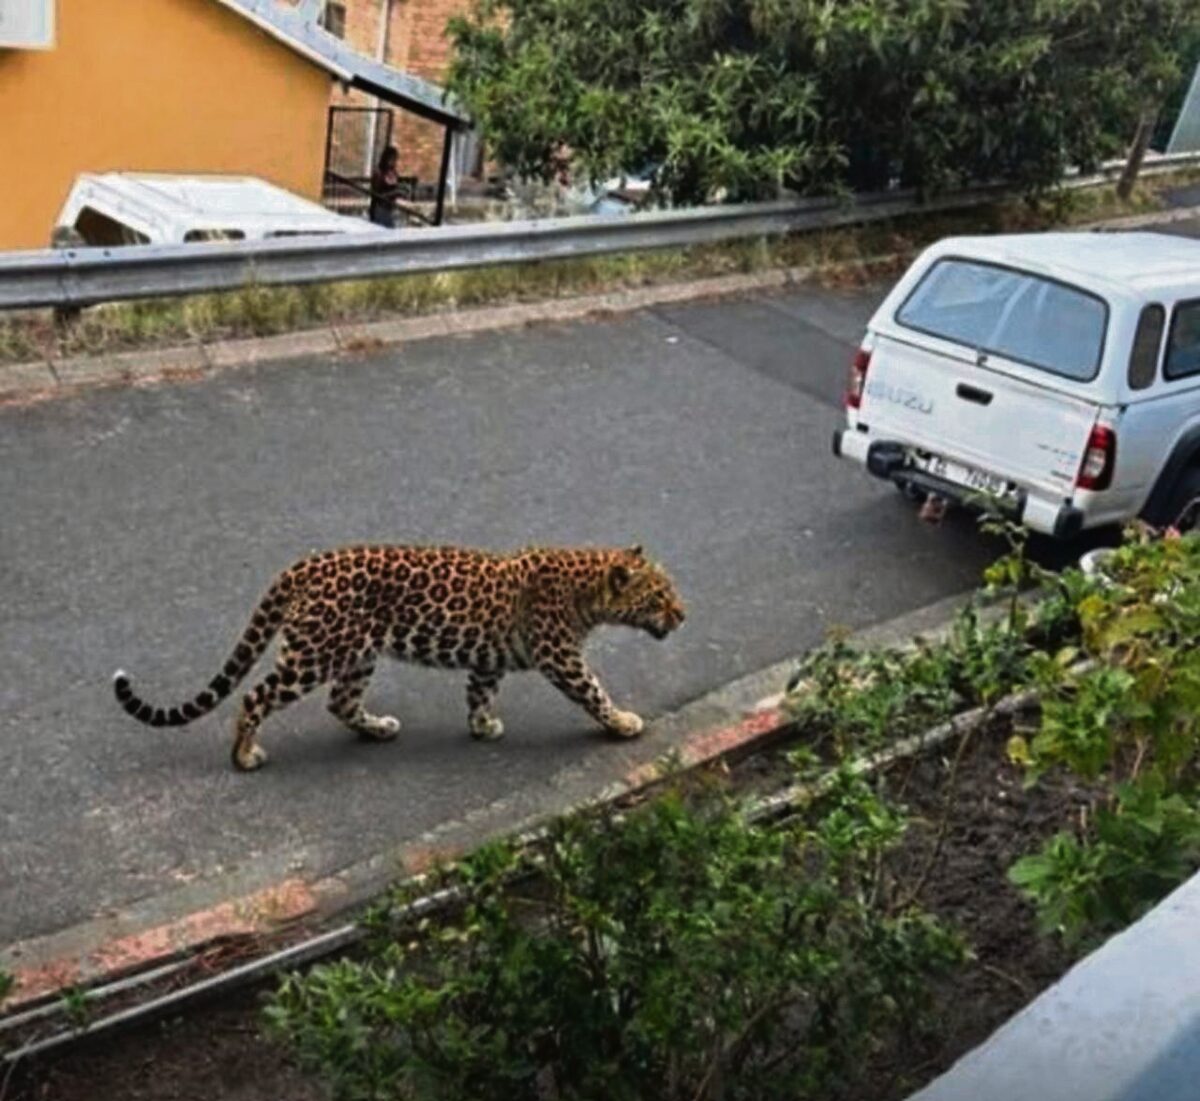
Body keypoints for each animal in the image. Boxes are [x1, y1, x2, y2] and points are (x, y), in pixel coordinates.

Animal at [113, 543, 685, 771]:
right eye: (659, 597)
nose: (684, 615)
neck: (588, 591)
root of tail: (301, 566)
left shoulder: (489, 657)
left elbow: (480, 690)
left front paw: (483, 726)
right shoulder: (560, 656)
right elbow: (593, 689)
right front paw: (623, 721)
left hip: (357, 653)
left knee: (341, 703)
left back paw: (379, 728)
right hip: (314, 653)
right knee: (256, 696)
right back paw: (245, 756)